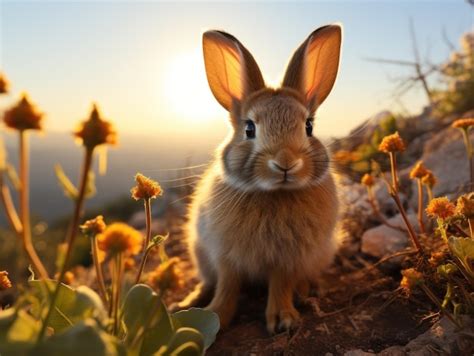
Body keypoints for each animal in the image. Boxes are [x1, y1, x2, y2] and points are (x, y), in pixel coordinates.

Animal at [176, 25, 342, 334]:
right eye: (249, 129)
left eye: (308, 126)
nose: (286, 163)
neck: (273, 194)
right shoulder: (226, 255)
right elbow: (227, 286)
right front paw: (215, 315)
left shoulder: (288, 258)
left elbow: (280, 284)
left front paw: (283, 319)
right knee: (208, 281)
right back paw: (188, 300)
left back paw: (306, 290)